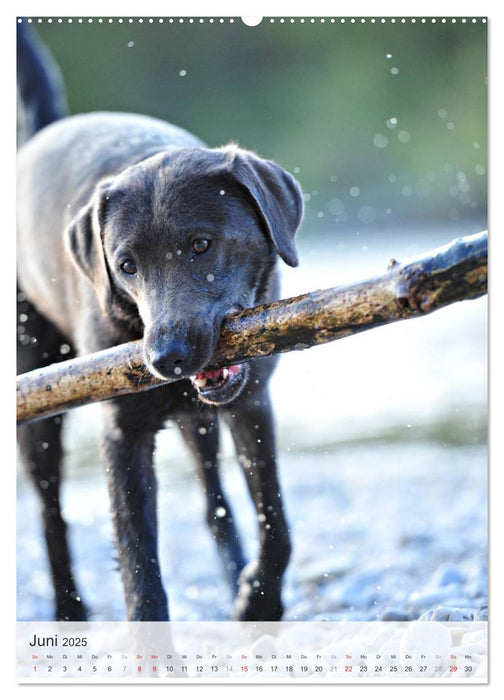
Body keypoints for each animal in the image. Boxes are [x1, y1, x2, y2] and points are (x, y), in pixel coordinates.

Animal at [16, 24, 304, 620]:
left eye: (200, 245)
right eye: (126, 265)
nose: (164, 358)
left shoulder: (251, 403)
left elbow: (277, 524)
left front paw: (258, 600)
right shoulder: (122, 435)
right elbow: (139, 571)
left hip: (198, 423)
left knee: (213, 499)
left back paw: (233, 575)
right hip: (37, 408)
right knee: (51, 514)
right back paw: (68, 607)